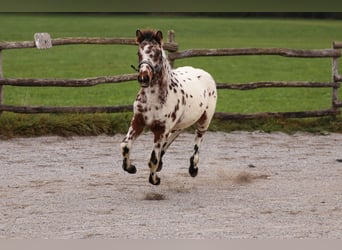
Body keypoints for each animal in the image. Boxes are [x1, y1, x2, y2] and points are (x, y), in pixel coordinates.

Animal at [120, 29, 216, 186]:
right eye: (139, 53)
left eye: (158, 53)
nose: (143, 78)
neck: (153, 100)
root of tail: (204, 73)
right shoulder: (138, 121)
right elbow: (125, 146)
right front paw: (130, 167)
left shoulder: (161, 129)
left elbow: (153, 159)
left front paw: (155, 180)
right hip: (180, 122)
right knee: (175, 134)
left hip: (204, 120)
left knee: (198, 139)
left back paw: (193, 168)